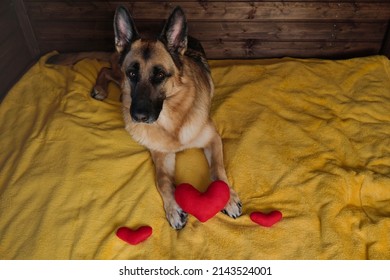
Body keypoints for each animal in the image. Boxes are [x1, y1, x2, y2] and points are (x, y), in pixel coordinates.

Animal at [50, 6, 241, 230]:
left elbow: (218, 170)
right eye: (132, 73)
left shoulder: (213, 139)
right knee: (106, 70)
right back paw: (100, 89)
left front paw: (228, 199)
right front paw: (173, 209)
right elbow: (163, 182)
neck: (172, 122)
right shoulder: (161, 154)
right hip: (119, 77)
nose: (138, 116)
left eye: (159, 75)